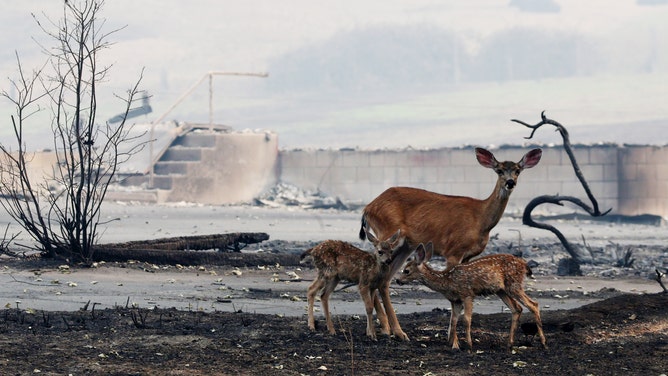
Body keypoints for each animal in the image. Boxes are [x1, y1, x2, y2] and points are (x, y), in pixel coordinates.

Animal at [358, 148, 540, 270]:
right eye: (499, 170)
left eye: (518, 170)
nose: (510, 182)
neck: (481, 221)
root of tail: (367, 208)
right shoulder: (453, 250)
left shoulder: (468, 255)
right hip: (387, 230)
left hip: (406, 244)